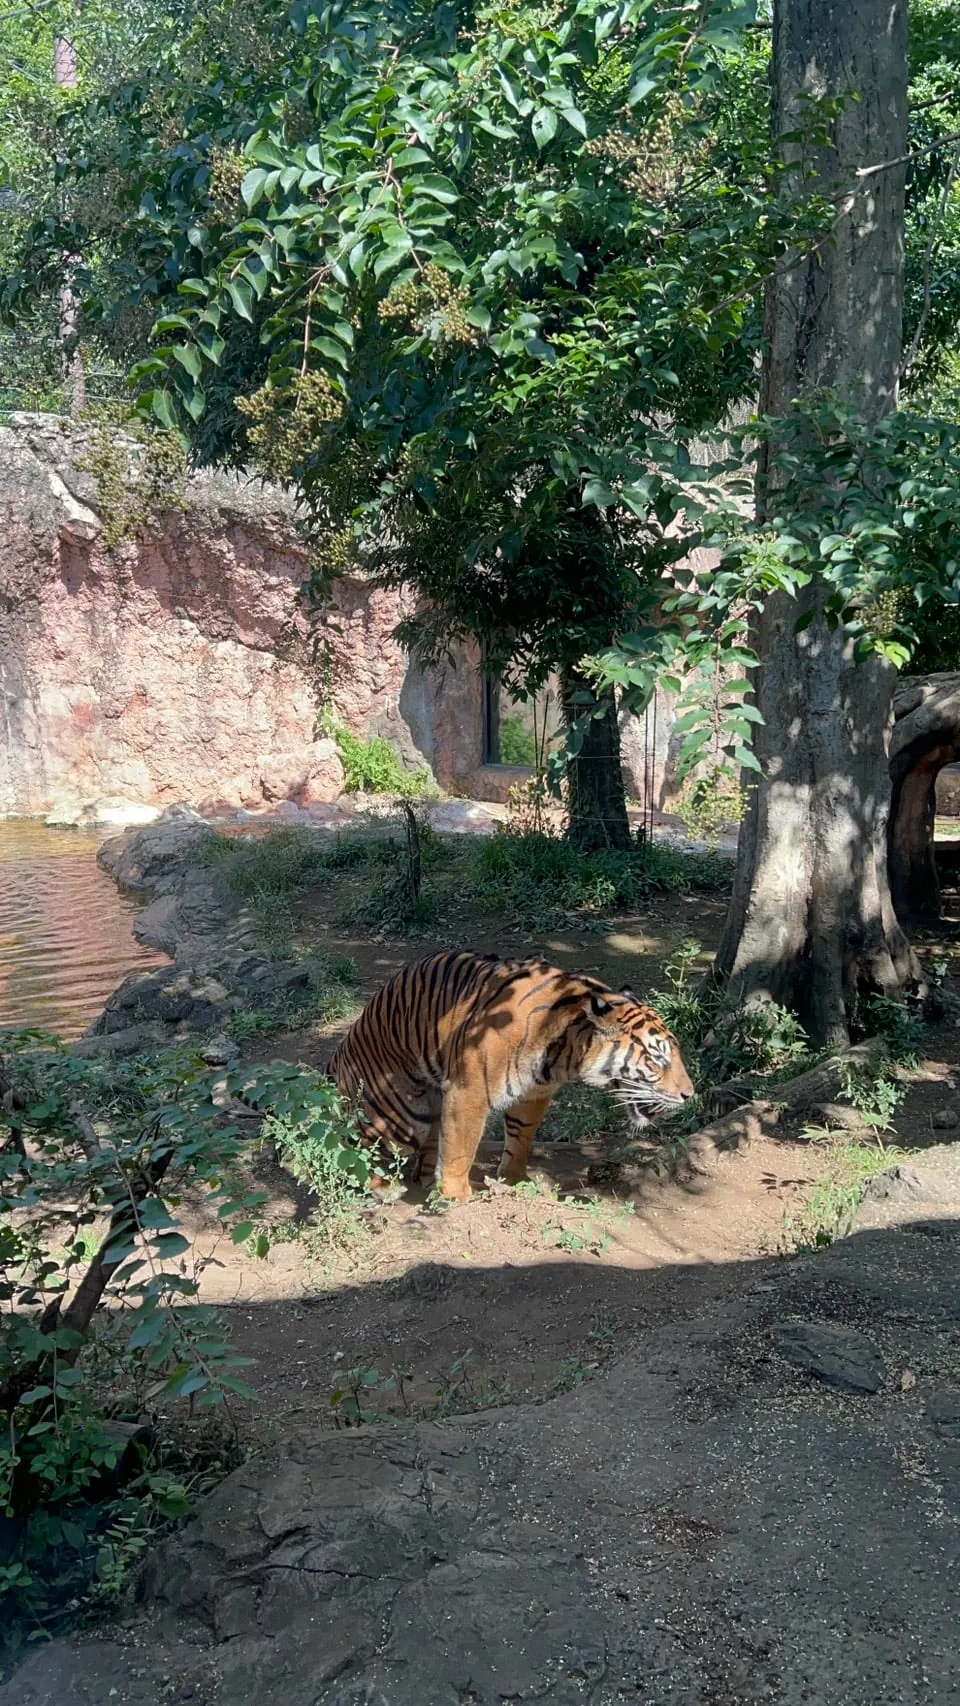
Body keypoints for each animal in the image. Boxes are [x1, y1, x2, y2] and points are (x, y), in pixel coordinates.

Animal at [327, 950, 695, 1204]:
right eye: (658, 1058)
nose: (689, 1095)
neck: (565, 1048)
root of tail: (341, 1049)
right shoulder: (469, 1091)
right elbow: (461, 1145)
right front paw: (455, 1195)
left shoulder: (535, 1093)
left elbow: (522, 1137)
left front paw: (514, 1179)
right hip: (400, 1114)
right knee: (355, 1142)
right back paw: (383, 1188)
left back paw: (423, 1179)